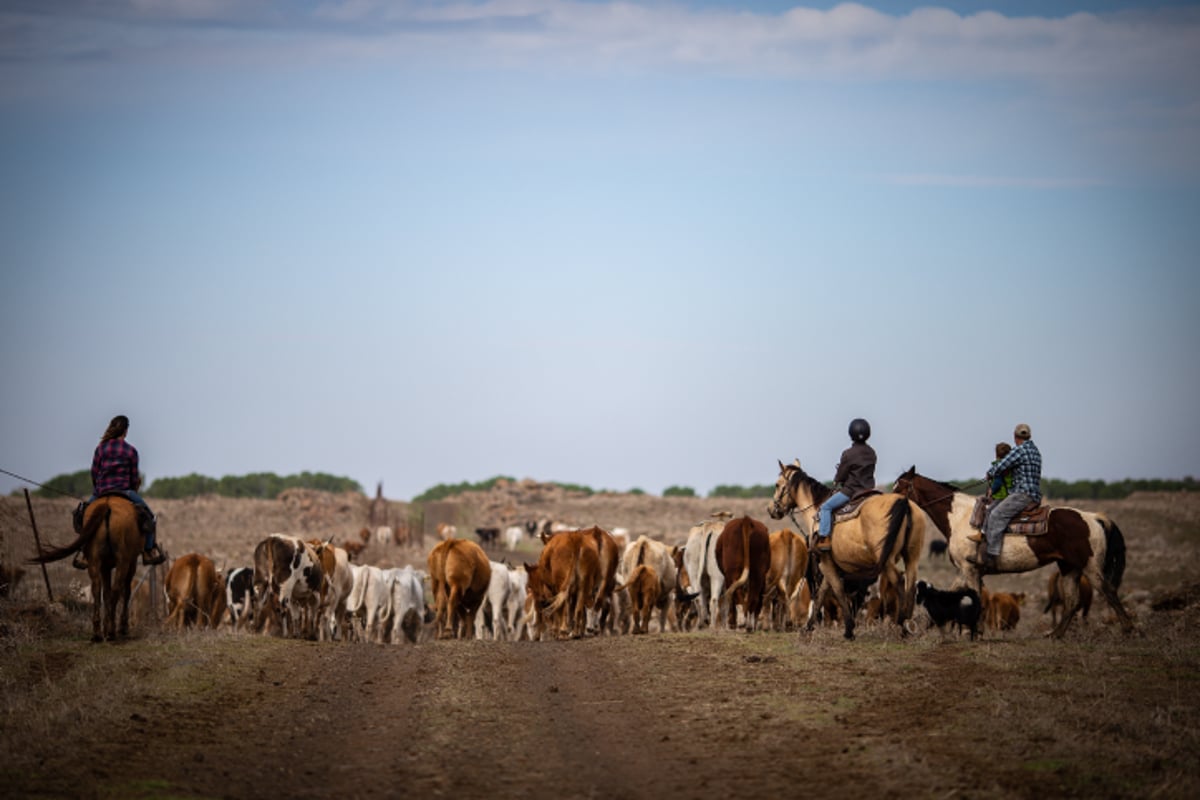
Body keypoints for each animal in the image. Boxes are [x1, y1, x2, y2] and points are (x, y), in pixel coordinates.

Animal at [31, 496, 145, 642]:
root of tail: (107, 505)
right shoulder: (131, 563)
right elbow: (125, 592)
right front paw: (122, 627)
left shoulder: (105, 567)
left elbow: (105, 593)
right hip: (123, 562)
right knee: (117, 590)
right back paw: (111, 631)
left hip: (95, 562)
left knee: (97, 589)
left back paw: (98, 632)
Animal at [763, 460, 921, 642]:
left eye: (777, 484)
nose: (771, 510)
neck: (817, 509)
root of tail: (904, 503)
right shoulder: (828, 564)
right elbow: (822, 593)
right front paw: (808, 627)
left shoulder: (825, 562)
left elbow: (837, 590)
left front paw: (849, 630)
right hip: (912, 558)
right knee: (911, 586)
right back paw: (908, 625)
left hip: (887, 560)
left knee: (900, 583)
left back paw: (902, 625)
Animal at [892, 465, 1132, 642]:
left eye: (900, 487)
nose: (889, 501)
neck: (960, 517)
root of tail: (1094, 518)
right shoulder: (966, 570)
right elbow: (955, 593)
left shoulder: (969, 569)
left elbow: (973, 597)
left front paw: (973, 633)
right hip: (1069, 568)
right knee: (1072, 602)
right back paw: (1055, 634)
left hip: (1090, 566)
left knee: (1109, 591)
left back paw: (1128, 630)